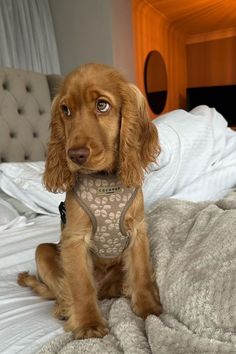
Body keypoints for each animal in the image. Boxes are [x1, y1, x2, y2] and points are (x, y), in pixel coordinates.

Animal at [17, 63, 162, 340]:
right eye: (65, 110)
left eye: (102, 105)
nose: (75, 155)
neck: (105, 181)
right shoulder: (74, 239)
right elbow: (81, 285)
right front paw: (88, 324)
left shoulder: (137, 230)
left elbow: (141, 271)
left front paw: (148, 307)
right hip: (44, 250)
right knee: (62, 289)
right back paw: (64, 307)